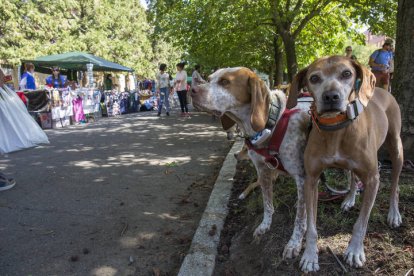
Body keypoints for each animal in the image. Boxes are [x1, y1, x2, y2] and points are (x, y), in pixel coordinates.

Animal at [286, 56, 402, 272]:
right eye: (314, 78)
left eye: (346, 73)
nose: (331, 96)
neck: (335, 128)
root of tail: (382, 89)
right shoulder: (311, 179)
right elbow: (311, 227)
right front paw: (310, 256)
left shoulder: (373, 179)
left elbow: (361, 224)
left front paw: (355, 251)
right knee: (353, 177)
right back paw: (349, 199)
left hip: (396, 148)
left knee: (395, 186)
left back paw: (394, 213)